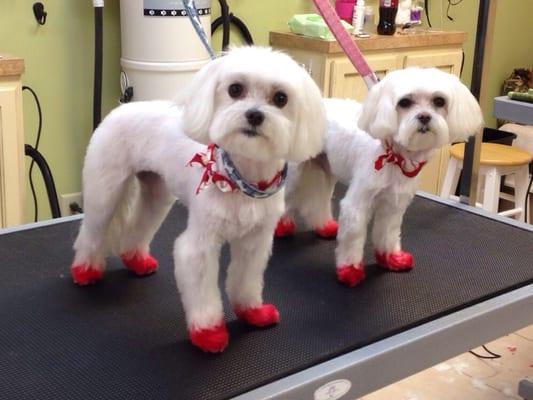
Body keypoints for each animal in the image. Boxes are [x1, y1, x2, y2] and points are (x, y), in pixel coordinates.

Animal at [68, 47, 322, 354]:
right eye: (235, 89)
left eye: (281, 98)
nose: (254, 115)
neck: (241, 179)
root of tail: (120, 108)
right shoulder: (201, 244)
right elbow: (202, 288)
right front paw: (208, 333)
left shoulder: (255, 240)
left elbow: (246, 279)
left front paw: (252, 312)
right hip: (105, 189)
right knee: (91, 231)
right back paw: (85, 270)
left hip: (157, 194)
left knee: (141, 224)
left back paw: (136, 260)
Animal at [278, 67, 482, 286]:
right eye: (405, 102)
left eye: (439, 101)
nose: (425, 117)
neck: (395, 156)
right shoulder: (357, 204)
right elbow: (354, 237)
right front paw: (350, 270)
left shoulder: (393, 205)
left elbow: (388, 233)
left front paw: (391, 259)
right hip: (295, 172)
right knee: (287, 198)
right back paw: (282, 227)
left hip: (324, 168)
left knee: (318, 200)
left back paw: (324, 226)